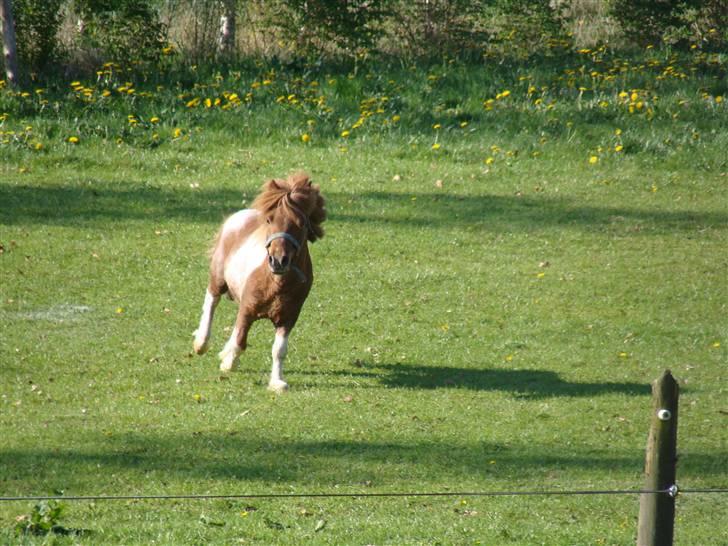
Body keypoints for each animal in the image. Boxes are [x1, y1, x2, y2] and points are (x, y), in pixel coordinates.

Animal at [196, 172, 328, 388]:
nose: (278, 260)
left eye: (301, 223)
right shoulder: (247, 309)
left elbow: (279, 350)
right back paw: (201, 343)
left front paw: (277, 383)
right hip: (218, 278)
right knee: (211, 301)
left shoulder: (288, 318)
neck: (276, 283)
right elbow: (240, 340)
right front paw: (229, 363)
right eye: (269, 219)